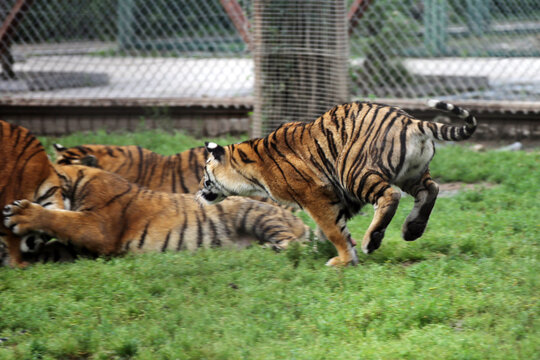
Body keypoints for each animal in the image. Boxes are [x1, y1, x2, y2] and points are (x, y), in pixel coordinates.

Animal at [198, 100, 476, 266]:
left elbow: (332, 229)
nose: (199, 192)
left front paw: (342, 260)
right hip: (411, 173)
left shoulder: (315, 194)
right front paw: (317, 251)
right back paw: (412, 229)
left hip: (353, 172)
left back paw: (372, 240)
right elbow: (331, 230)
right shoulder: (341, 197)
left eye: (204, 172)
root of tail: (411, 120)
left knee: (391, 196)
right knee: (431, 189)